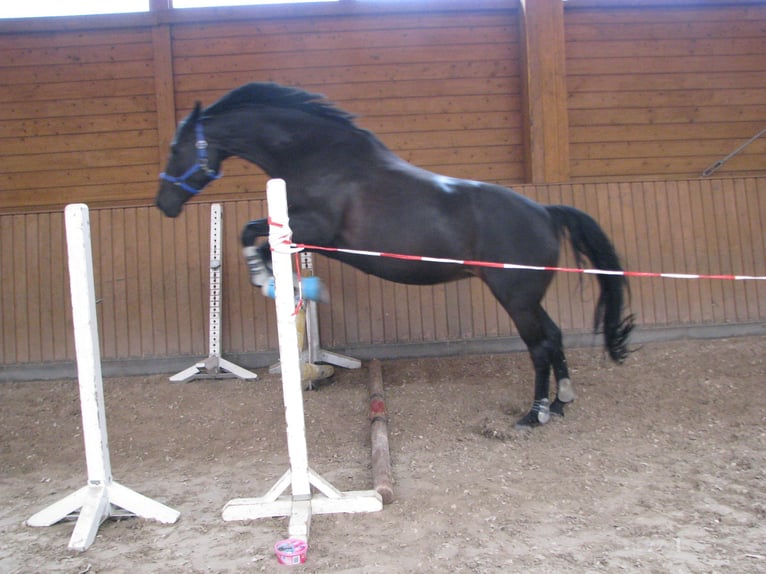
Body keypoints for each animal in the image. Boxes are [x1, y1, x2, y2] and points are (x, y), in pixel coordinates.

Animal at [158, 83, 636, 430]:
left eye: (175, 148)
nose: (164, 203)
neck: (321, 159)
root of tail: (546, 212)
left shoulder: (314, 230)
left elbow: (252, 235)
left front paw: (268, 279)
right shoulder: (302, 233)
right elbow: (252, 233)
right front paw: (283, 282)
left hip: (515, 298)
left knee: (539, 345)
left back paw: (534, 414)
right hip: (527, 298)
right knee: (553, 336)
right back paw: (561, 402)